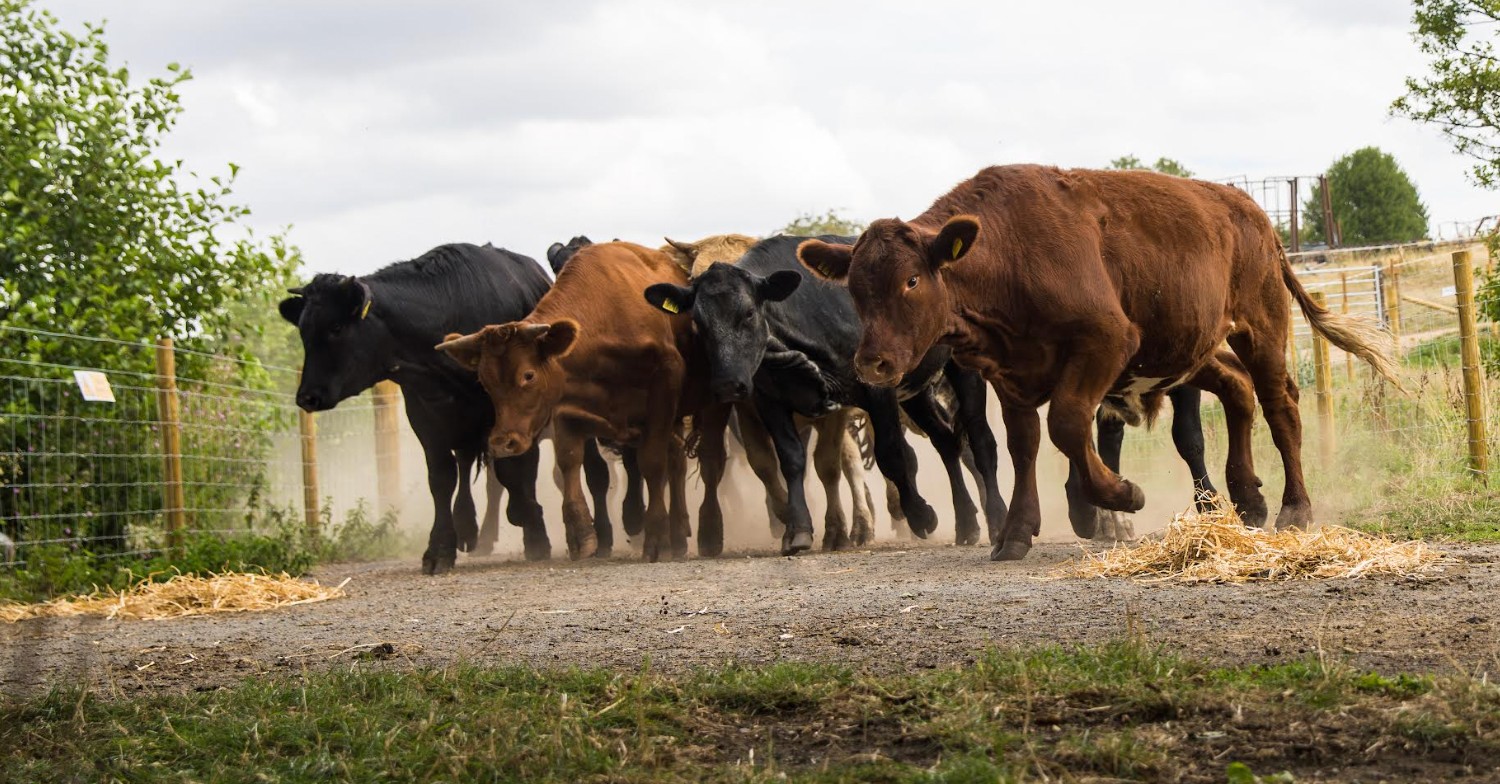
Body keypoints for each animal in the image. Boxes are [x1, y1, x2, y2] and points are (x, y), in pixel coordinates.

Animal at [279, 243, 619, 574]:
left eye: (336, 327)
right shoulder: (426, 418)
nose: (307, 397)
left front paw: (533, 530)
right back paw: (470, 528)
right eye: (303, 331)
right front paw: (440, 548)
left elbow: (515, 473)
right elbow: (442, 480)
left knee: (589, 472)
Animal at [437, 242, 725, 562]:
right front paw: (582, 535)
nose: (502, 442)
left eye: (528, 375)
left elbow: (651, 463)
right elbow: (569, 462)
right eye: (485, 381)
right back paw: (678, 533)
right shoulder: (567, 403)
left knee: (708, 460)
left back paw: (705, 533)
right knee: (676, 461)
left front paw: (655, 539)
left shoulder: (664, 386)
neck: (606, 313)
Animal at [645, 234, 1008, 555]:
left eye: (748, 313)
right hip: (915, 393)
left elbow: (891, 454)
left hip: (962, 373)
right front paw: (798, 530)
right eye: (698, 321)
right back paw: (966, 523)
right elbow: (791, 460)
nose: (727, 384)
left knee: (979, 441)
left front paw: (920, 515)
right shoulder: (769, 401)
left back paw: (997, 519)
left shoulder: (872, 393)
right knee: (946, 441)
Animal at [799, 164, 1398, 561]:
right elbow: (1024, 445)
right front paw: (1017, 531)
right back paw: (1247, 498)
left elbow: (1067, 424)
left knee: (1279, 403)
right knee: (1236, 388)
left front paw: (1116, 496)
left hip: (1261, 324)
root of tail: (1248, 209)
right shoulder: (1011, 373)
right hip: (1190, 348)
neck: (1009, 250)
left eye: (911, 280)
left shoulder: (1106, 340)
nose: (872, 363)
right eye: (855, 289)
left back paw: (1294, 509)